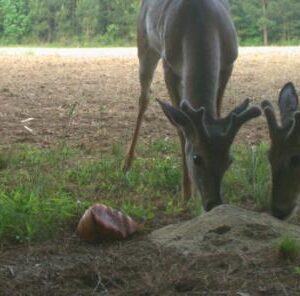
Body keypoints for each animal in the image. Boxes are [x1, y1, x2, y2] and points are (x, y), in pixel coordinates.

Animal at [123, 0, 262, 213]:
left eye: (229, 160)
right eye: (196, 158)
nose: (213, 203)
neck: (201, 23)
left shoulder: (228, 63)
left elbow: (216, 111)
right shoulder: (169, 65)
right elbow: (181, 129)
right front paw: (187, 195)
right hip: (145, 45)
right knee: (144, 99)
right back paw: (127, 164)